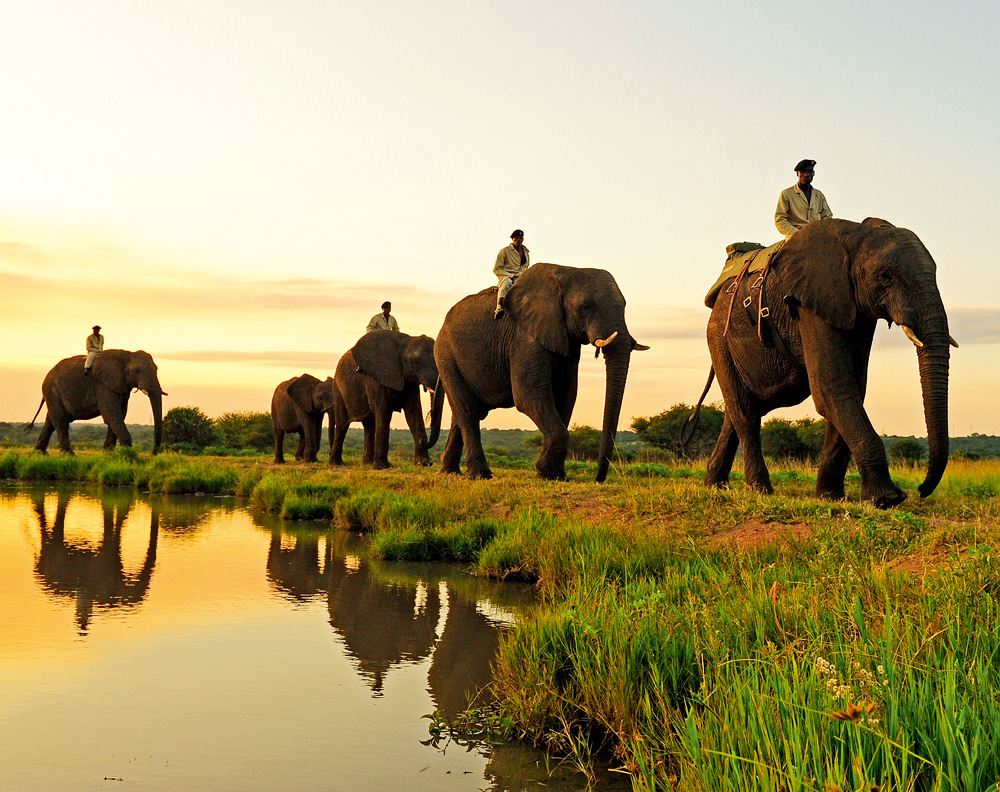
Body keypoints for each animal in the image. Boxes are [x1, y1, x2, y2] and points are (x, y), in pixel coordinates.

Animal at [29, 350, 167, 454]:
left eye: (156, 369)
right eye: (137, 371)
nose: (154, 453)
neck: (127, 355)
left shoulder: (121, 387)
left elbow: (120, 415)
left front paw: (108, 454)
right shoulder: (103, 386)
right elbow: (112, 416)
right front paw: (128, 453)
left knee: (51, 421)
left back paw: (40, 454)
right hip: (52, 391)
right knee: (61, 421)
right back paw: (69, 455)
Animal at [332, 330, 446, 468]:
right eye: (414, 362)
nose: (423, 440)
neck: (406, 340)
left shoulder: (408, 382)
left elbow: (413, 413)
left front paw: (424, 464)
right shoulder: (374, 377)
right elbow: (384, 412)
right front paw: (382, 467)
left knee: (369, 425)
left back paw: (368, 463)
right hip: (338, 389)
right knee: (342, 425)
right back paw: (336, 464)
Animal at [436, 262, 648, 480]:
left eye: (624, 306)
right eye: (585, 307)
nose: (598, 479)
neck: (567, 271)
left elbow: (566, 396)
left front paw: (555, 475)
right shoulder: (524, 337)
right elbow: (529, 395)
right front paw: (547, 473)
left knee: (463, 412)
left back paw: (450, 471)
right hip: (446, 355)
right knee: (468, 410)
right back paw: (480, 475)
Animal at [700, 217, 956, 508]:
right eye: (885, 277)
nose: (921, 489)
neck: (855, 234)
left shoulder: (855, 311)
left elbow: (851, 386)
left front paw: (830, 496)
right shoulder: (808, 303)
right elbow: (831, 386)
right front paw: (887, 499)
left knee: (738, 410)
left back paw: (715, 485)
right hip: (718, 338)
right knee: (745, 412)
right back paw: (760, 489)